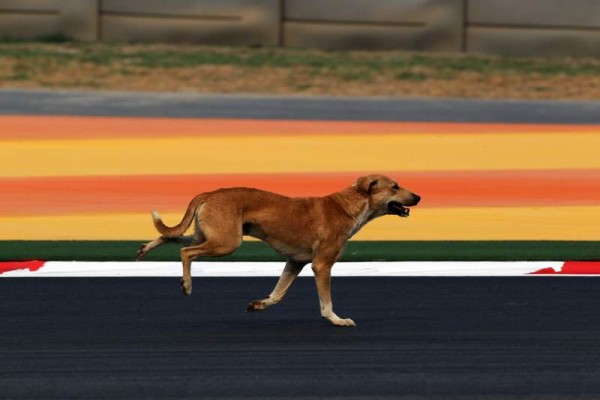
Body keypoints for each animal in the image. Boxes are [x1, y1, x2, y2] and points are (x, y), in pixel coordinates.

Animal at [137, 173, 420, 326]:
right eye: (394, 186)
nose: (418, 197)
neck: (348, 206)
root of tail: (210, 192)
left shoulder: (295, 263)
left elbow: (278, 294)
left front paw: (258, 305)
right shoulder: (321, 265)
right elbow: (326, 303)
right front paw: (337, 320)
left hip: (206, 235)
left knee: (169, 236)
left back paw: (145, 248)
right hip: (226, 242)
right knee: (185, 253)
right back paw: (186, 285)